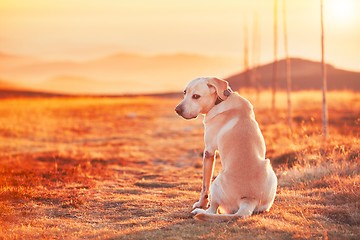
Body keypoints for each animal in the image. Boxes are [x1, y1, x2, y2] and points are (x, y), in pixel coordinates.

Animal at [176, 77, 278, 221]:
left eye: (196, 96)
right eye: (184, 92)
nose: (177, 110)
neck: (220, 101)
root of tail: (248, 199)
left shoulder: (208, 152)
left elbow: (204, 186)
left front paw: (200, 203)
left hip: (216, 183)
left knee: (212, 210)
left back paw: (200, 211)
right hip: (271, 172)